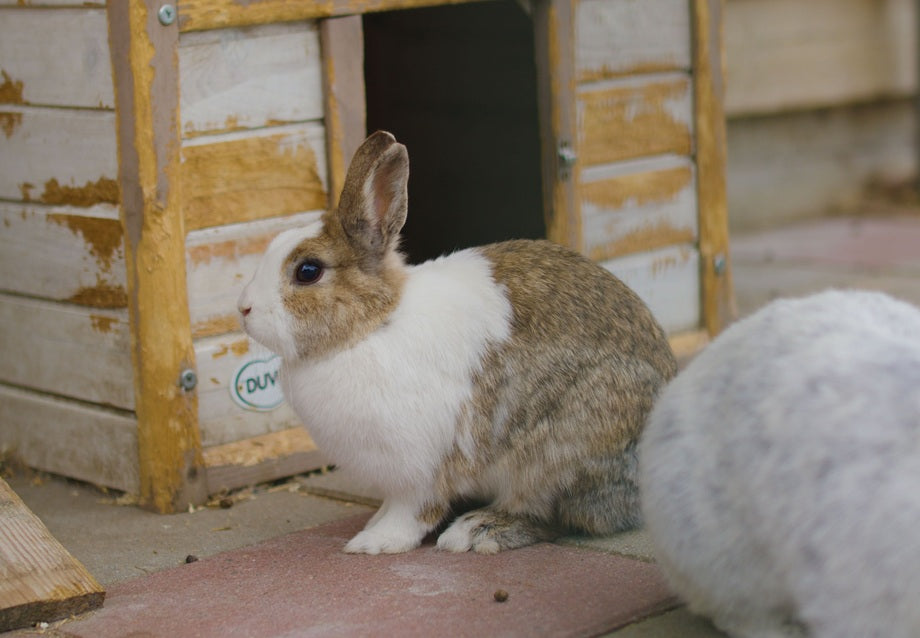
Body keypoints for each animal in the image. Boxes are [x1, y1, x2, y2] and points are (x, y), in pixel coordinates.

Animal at [238, 130, 677, 555]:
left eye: (308, 271)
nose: (243, 309)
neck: (374, 326)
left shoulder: (422, 469)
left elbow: (413, 511)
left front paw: (374, 543)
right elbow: (389, 506)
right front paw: (372, 526)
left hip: (557, 454)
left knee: (554, 515)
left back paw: (476, 531)